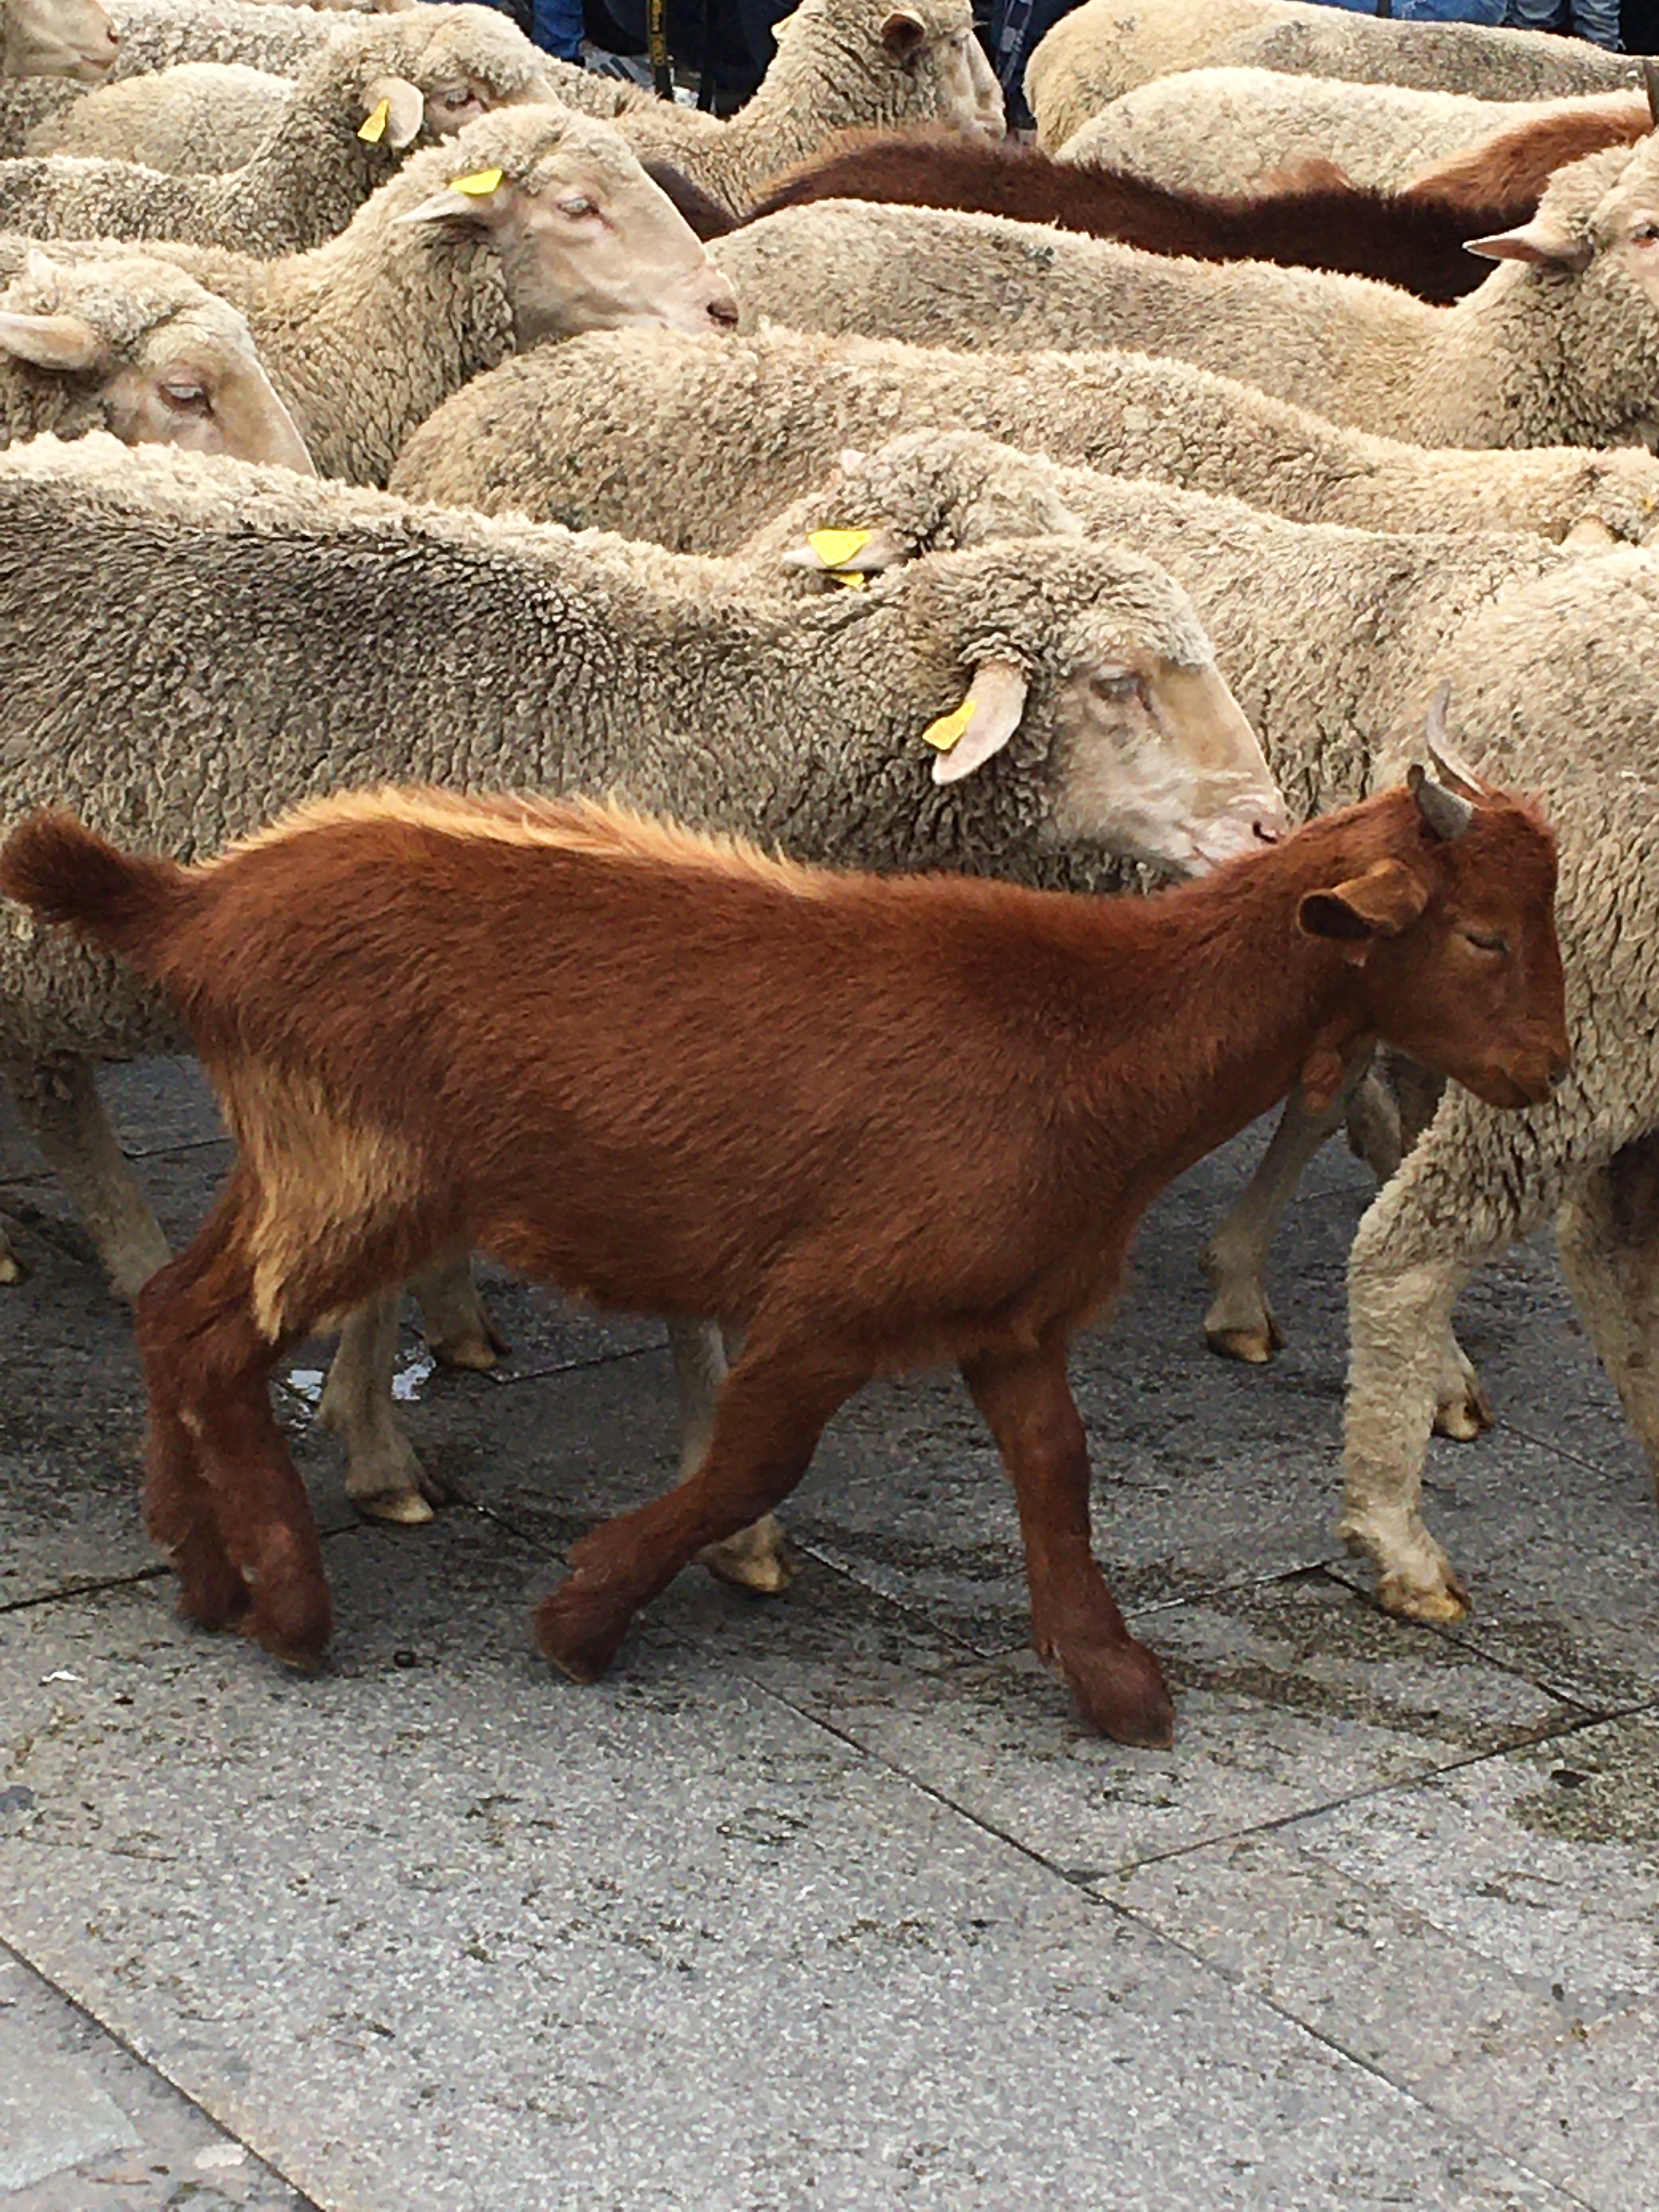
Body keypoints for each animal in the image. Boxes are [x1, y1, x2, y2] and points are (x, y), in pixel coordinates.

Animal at [0, 770, 1568, 1745]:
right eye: (1484, 934)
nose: (1548, 1073)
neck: (1095, 1030)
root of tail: (198, 906)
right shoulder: (827, 1304)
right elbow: (751, 1462)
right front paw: (582, 1617)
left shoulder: (1008, 1314)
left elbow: (1058, 1476)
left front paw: (1113, 1679)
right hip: (356, 1174)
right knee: (220, 1341)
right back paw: (288, 1606)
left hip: (297, 1162)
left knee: (174, 1311)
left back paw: (198, 1568)